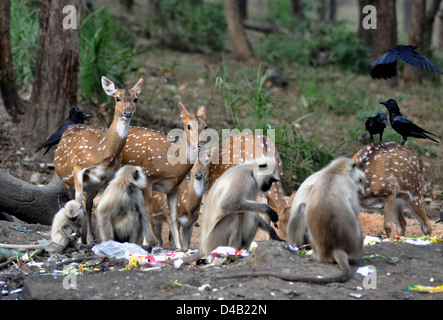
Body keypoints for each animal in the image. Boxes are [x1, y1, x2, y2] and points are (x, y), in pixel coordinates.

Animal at [53, 76, 144, 244]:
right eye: (117, 98)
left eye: (136, 99)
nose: (128, 112)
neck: (102, 151)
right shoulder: (78, 166)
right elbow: (78, 201)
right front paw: (78, 241)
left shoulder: (109, 176)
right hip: (67, 180)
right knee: (73, 200)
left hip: (93, 185)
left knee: (89, 205)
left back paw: (89, 238)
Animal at [121, 101, 208, 249]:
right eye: (188, 126)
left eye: (205, 126)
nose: (200, 144)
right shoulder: (148, 178)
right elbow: (148, 212)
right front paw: (149, 244)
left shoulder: (173, 187)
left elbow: (173, 218)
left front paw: (179, 248)